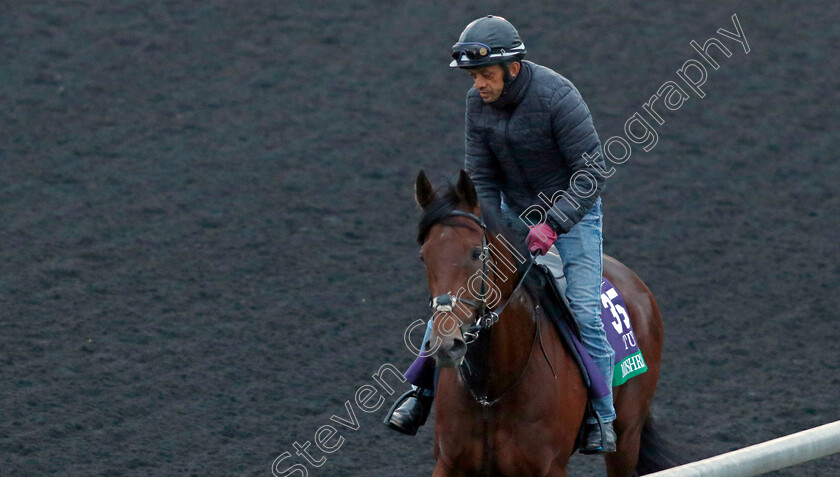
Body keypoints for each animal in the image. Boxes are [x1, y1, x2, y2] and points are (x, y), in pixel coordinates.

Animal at [416, 171, 680, 476]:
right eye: (424, 256)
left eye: (476, 253)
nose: (446, 345)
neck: (492, 389)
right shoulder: (449, 463)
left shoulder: (549, 467)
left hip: (627, 435)